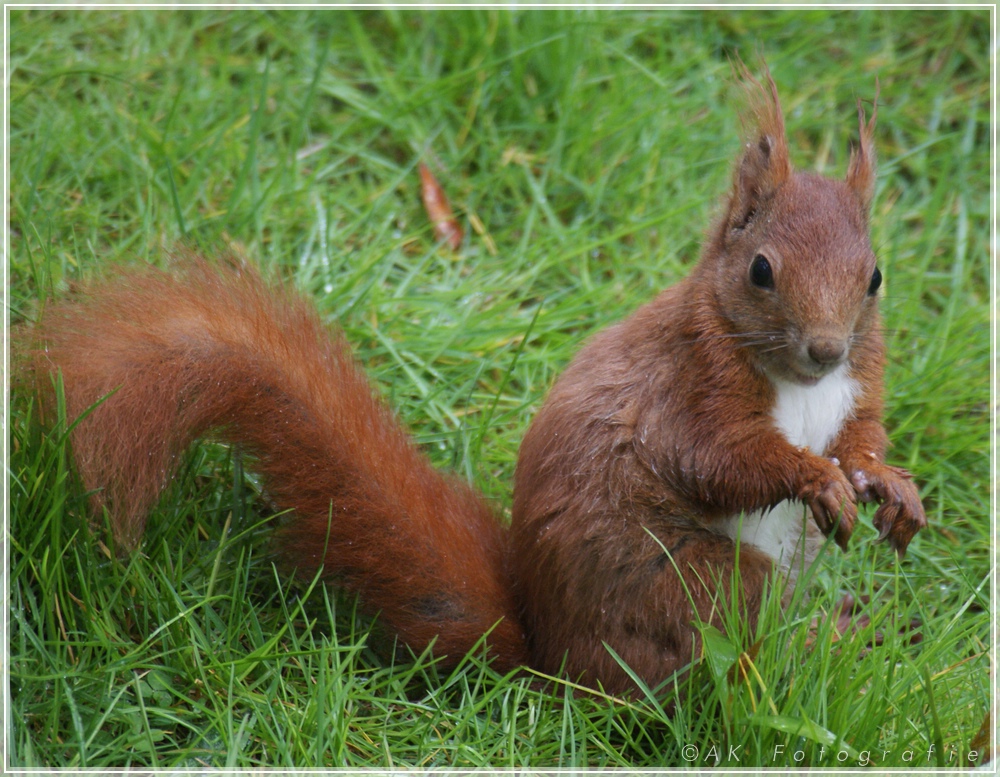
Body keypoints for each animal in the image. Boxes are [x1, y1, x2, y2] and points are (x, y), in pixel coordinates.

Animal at [19, 66, 920, 696]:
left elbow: (861, 438)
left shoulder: (858, 387)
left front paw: (891, 487)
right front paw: (814, 478)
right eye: (762, 269)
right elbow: (720, 458)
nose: (825, 348)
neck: (795, 383)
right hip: (696, 586)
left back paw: (833, 635)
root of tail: (554, 661)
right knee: (717, 657)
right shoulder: (686, 387)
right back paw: (798, 657)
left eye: (876, 276)